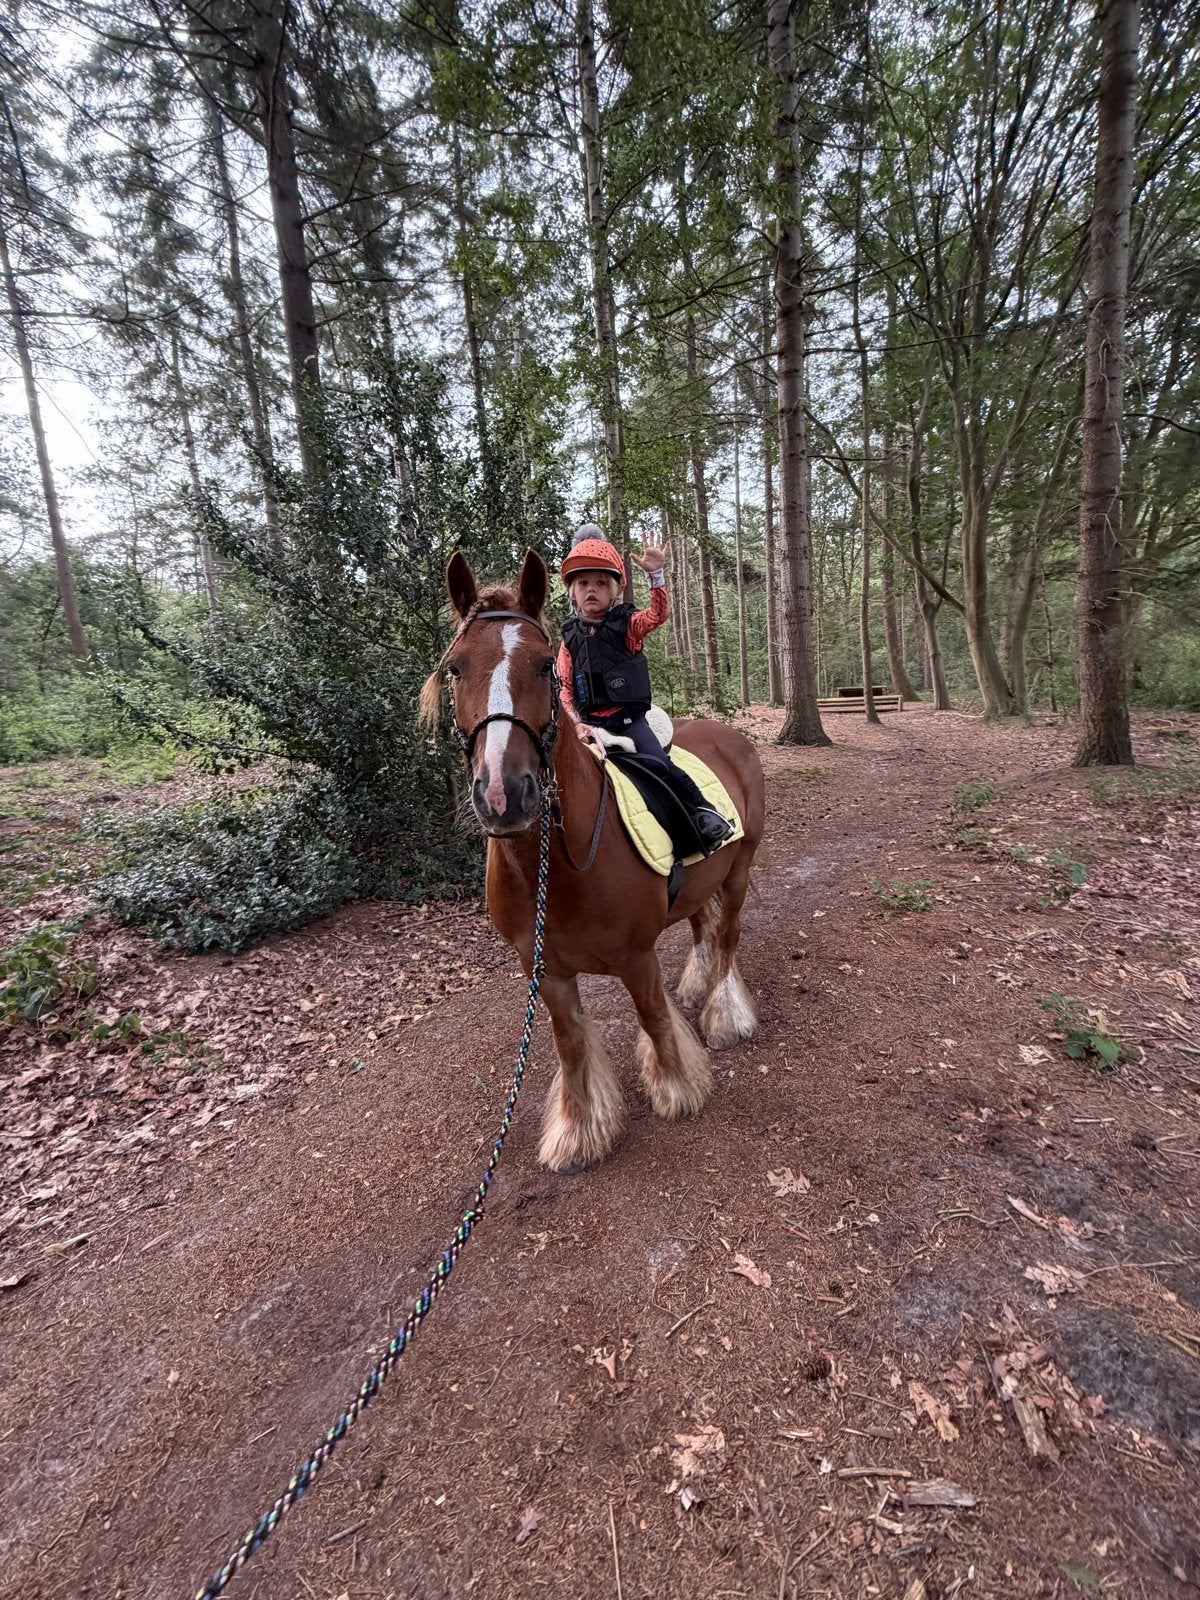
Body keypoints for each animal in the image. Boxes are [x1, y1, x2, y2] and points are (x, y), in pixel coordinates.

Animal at [420, 549, 765, 1173]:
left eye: (543, 667)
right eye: (455, 668)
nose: (504, 795)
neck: (558, 867)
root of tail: (729, 736)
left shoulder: (636, 956)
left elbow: (653, 1018)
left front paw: (678, 1088)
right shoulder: (547, 972)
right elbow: (570, 1043)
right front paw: (580, 1130)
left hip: (741, 868)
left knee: (727, 935)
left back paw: (725, 1015)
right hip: (700, 881)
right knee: (702, 925)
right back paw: (699, 986)